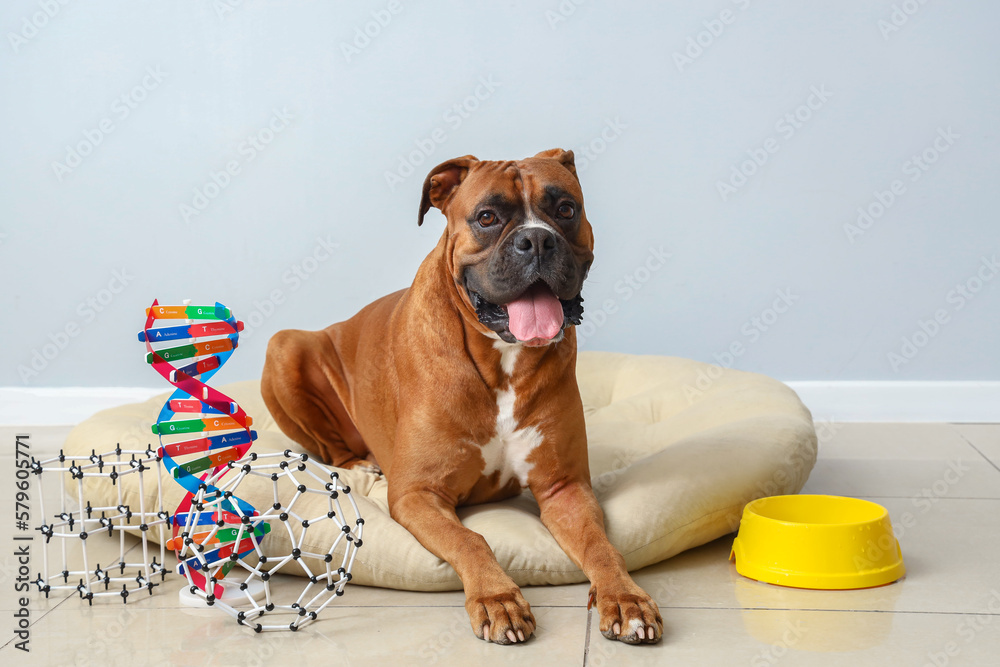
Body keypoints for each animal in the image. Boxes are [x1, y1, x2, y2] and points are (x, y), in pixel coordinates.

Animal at [262, 149, 660, 644]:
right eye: (487, 217)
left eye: (566, 209)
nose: (537, 240)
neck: (501, 359)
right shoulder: (417, 494)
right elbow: (471, 539)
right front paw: (498, 598)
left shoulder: (565, 488)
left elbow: (602, 547)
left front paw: (625, 599)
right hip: (284, 346)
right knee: (332, 447)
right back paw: (360, 464)